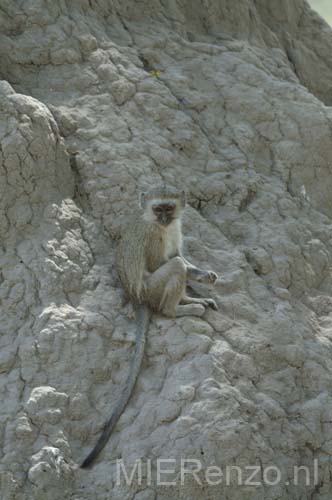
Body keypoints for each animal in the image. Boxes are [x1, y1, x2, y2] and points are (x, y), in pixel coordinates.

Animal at [81, 186, 218, 466]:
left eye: (169, 208)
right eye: (158, 209)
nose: (164, 219)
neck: (161, 226)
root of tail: (136, 297)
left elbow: (179, 255)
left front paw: (203, 275)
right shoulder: (154, 235)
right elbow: (166, 262)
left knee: (178, 264)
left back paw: (191, 300)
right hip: (151, 289)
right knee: (173, 270)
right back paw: (178, 309)